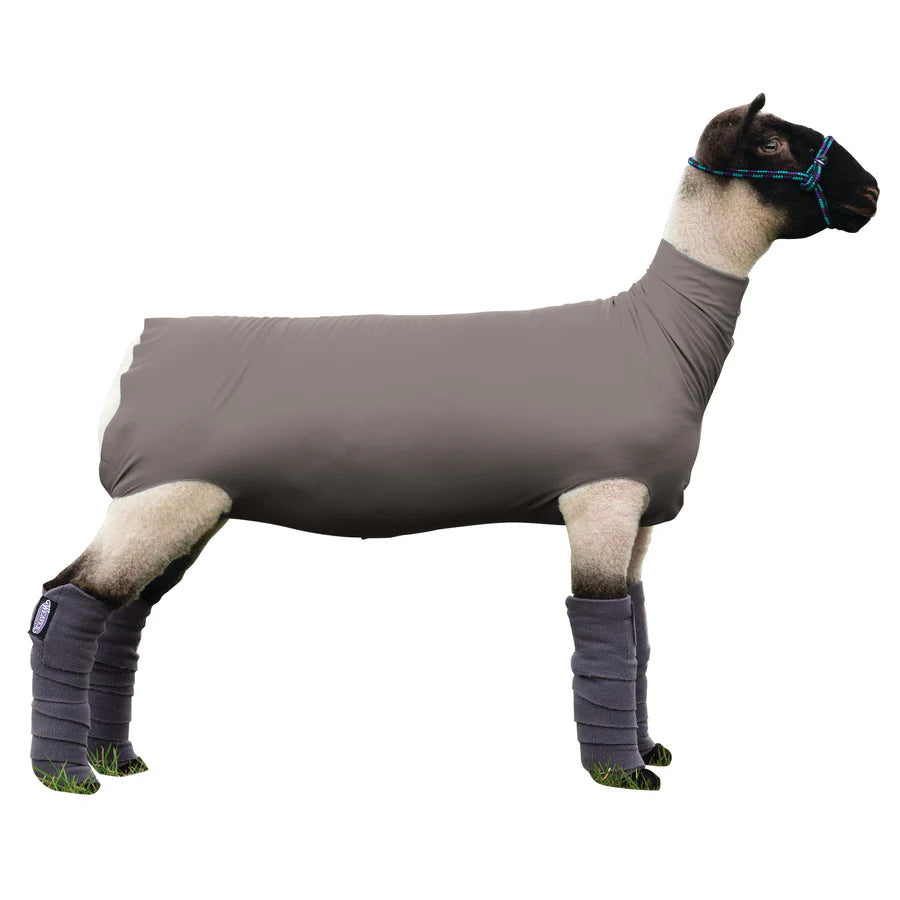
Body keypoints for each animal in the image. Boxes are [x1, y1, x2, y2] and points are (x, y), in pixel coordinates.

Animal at [29, 93, 879, 793]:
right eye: (772, 140)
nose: (871, 193)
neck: (658, 332)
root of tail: (135, 352)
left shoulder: (640, 517)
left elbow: (637, 635)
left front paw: (648, 749)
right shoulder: (601, 501)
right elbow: (601, 633)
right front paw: (620, 771)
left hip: (189, 508)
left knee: (122, 618)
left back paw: (116, 758)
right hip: (159, 499)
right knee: (66, 604)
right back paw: (68, 775)